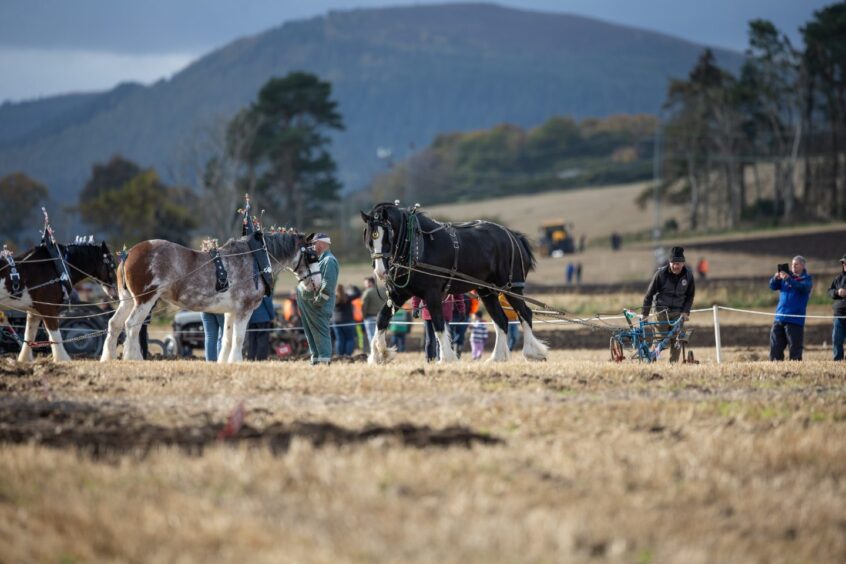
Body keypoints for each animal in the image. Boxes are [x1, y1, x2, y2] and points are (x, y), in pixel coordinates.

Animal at [102, 231, 322, 364]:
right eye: (312, 256)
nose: (318, 283)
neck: (256, 260)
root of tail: (129, 253)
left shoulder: (231, 311)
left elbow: (227, 338)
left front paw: (224, 362)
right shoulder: (245, 309)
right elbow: (239, 337)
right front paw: (237, 361)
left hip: (127, 300)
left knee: (115, 323)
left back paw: (108, 357)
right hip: (145, 299)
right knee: (132, 325)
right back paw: (134, 358)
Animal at [360, 205, 548, 364]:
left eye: (388, 238)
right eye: (369, 239)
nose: (381, 272)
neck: (415, 246)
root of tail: (514, 236)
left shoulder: (432, 293)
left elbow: (438, 324)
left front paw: (447, 359)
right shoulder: (399, 294)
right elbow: (382, 318)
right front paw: (379, 355)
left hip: (512, 287)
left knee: (525, 314)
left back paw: (532, 353)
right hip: (487, 291)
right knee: (501, 321)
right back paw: (496, 358)